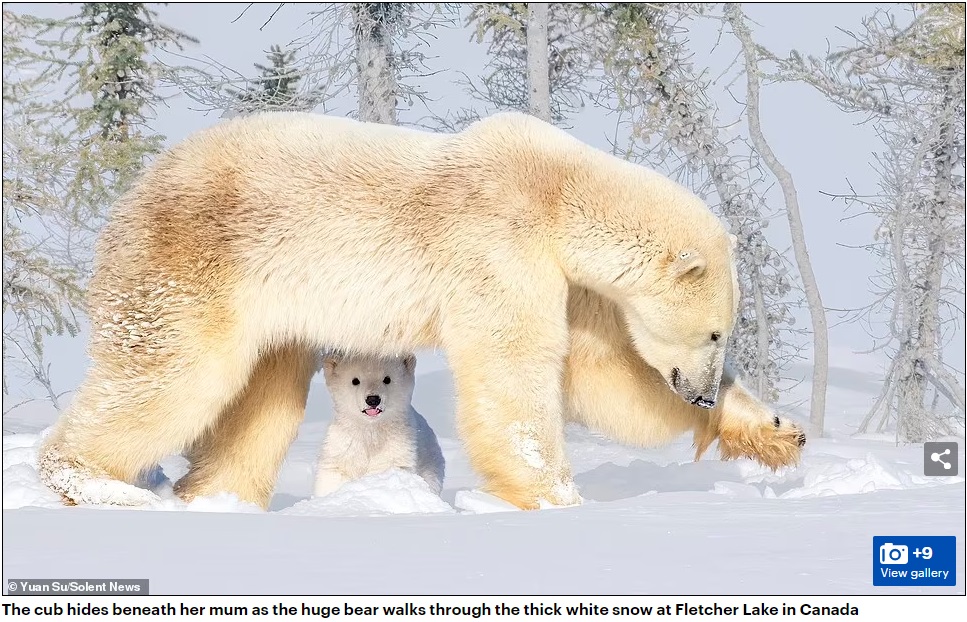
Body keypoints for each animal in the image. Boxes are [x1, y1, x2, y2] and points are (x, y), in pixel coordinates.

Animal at [314, 356, 446, 498]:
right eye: (355, 380)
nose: (373, 399)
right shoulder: (342, 446)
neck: (371, 430)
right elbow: (334, 475)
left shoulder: (397, 445)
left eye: (387, 379)